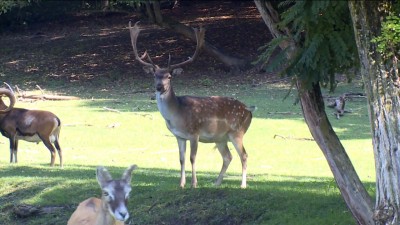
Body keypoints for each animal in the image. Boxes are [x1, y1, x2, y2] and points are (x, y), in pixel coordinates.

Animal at [128, 22, 255, 188]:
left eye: (169, 76)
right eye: (154, 76)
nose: (159, 87)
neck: (176, 114)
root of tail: (249, 112)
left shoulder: (195, 133)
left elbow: (192, 158)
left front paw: (194, 184)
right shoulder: (179, 136)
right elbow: (181, 159)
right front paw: (181, 184)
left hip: (237, 132)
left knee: (244, 155)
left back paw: (242, 185)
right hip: (220, 137)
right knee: (228, 156)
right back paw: (216, 183)